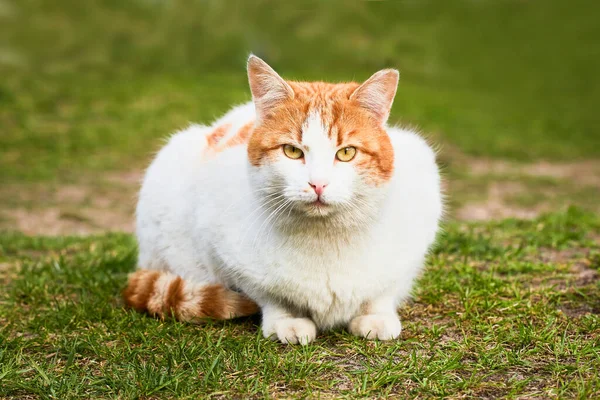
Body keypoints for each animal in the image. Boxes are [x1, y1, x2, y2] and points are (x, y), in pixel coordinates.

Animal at [124, 54, 442, 346]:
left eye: (346, 153)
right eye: (292, 151)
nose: (318, 183)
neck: (323, 239)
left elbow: (384, 290)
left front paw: (375, 315)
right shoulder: (219, 243)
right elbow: (268, 295)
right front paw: (286, 320)